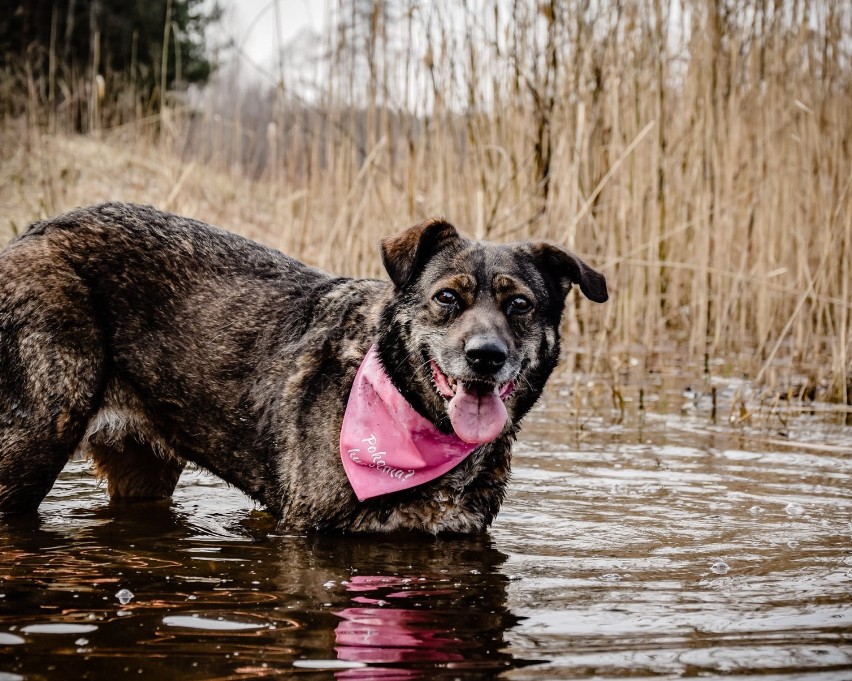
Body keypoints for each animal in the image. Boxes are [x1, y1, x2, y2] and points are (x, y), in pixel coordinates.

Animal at [0, 202, 604, 532]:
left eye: (519, 304)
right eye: (448, 298)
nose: (485, 356)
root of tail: (34, 231)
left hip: (141, 469)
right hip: (29, 447)